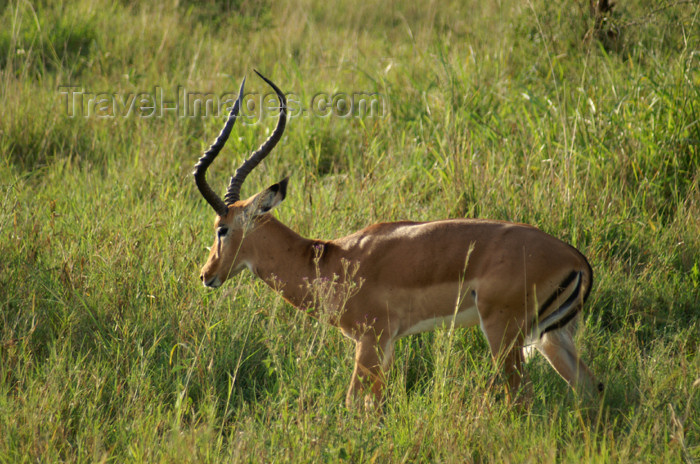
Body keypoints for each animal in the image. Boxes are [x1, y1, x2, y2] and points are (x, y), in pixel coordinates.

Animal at [196, 70, 600, 408]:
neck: (327, 260)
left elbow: (355, 405)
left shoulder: (371, 341)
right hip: (551, 337)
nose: (206, 275)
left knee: (523, 395)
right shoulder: (385, 346)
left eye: (222, 227)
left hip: (504, 335)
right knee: (590, 388)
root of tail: (575, 259)